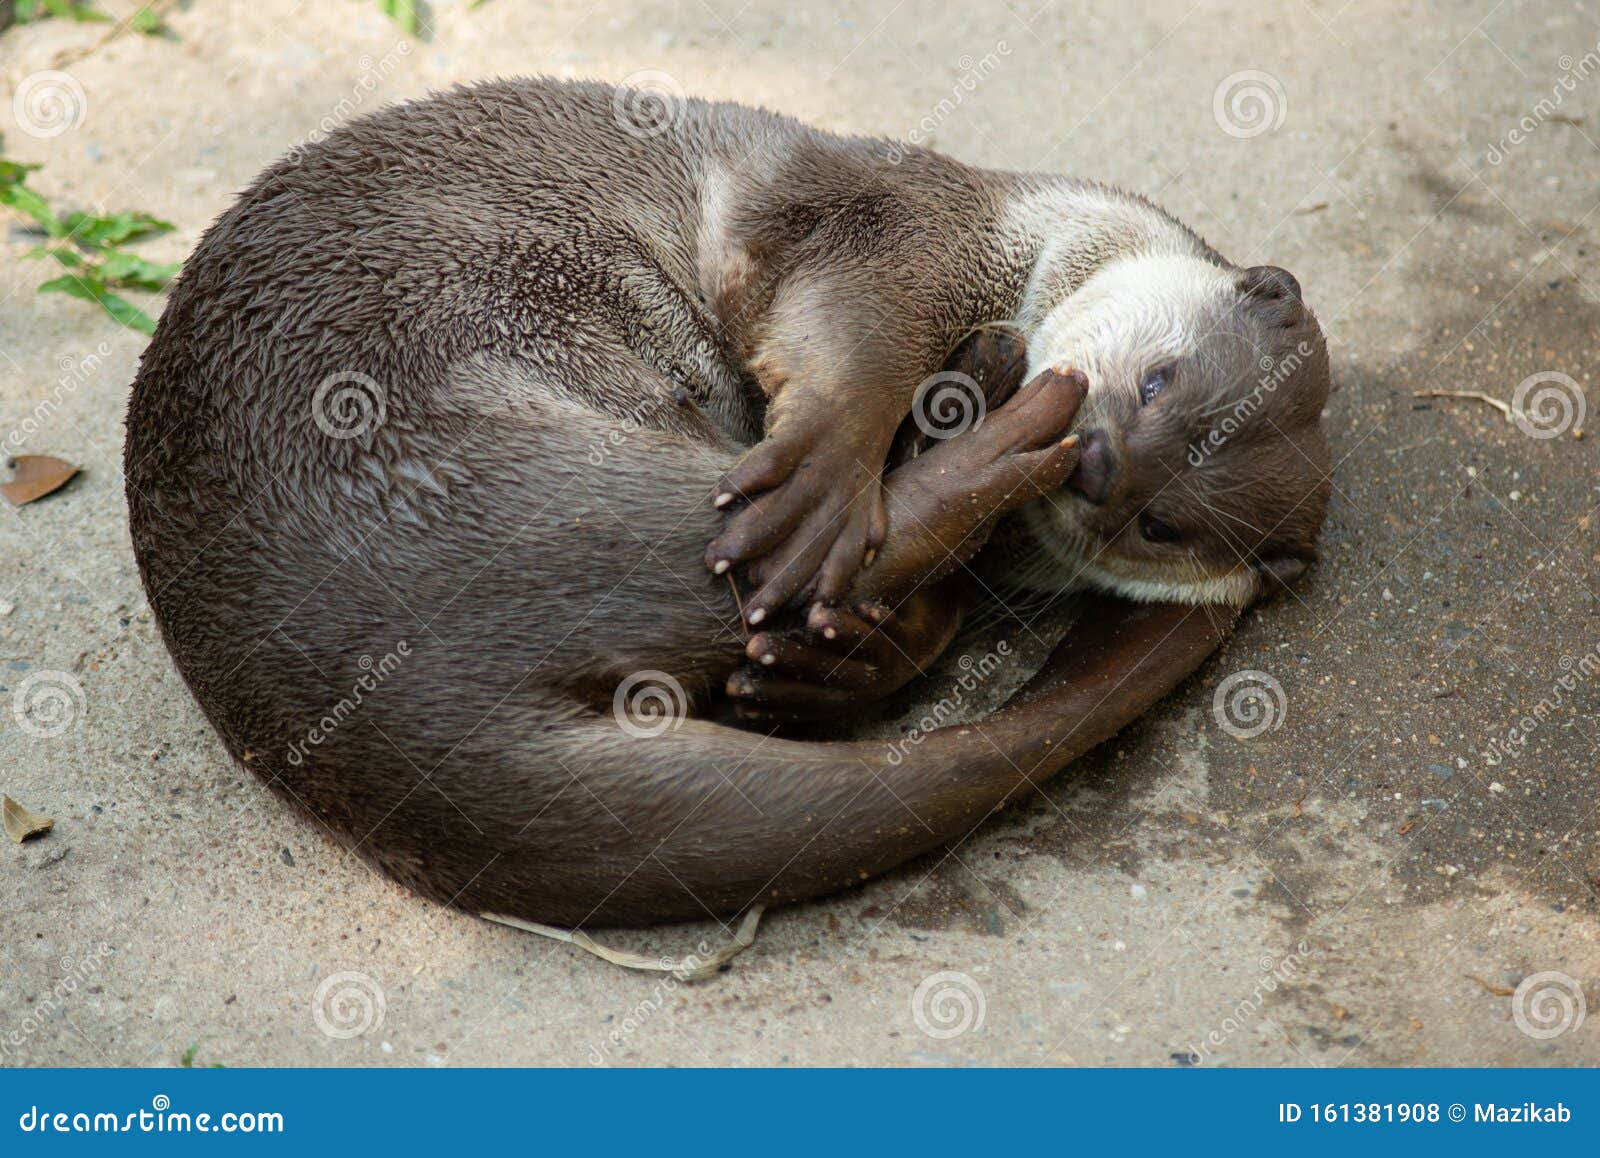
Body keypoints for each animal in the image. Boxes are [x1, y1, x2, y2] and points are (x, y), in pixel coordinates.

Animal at [123, 78, 1331, 931]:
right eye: (1160, 382)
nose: (1104, 470)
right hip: (492, 468)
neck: (1017, 250)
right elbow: (853, 330)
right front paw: (843, 446)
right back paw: (936, 449)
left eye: (1163, 525)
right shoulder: (892, 222)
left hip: (517, 507)